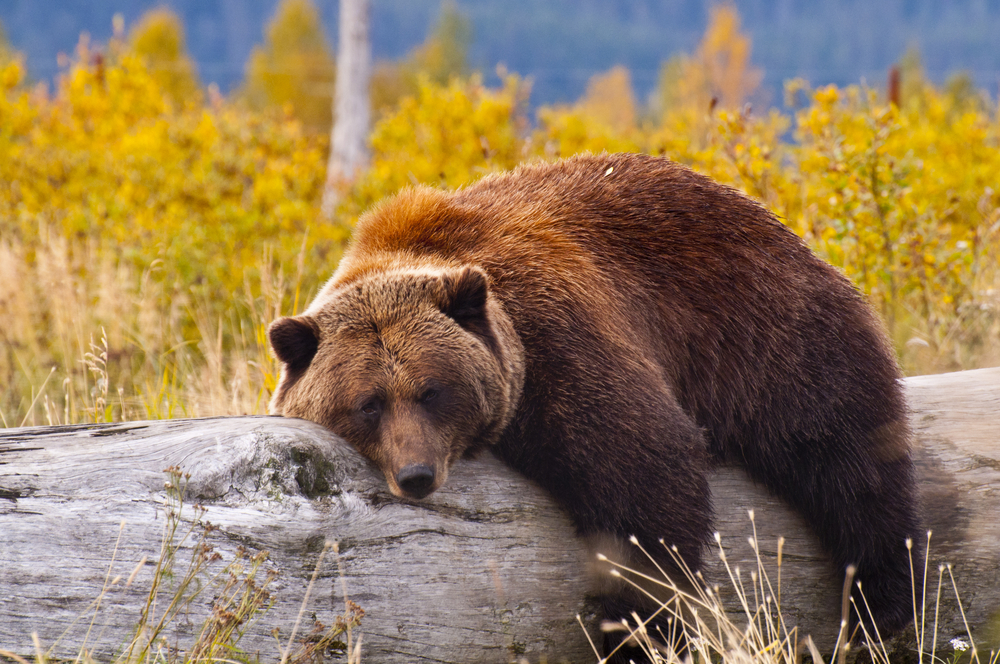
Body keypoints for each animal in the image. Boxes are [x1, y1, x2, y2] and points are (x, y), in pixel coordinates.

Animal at [268, 152, 920, 660]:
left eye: (432, 390)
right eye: (368, 404)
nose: (416, 475)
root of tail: (773, 221)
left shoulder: (558, 339)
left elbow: (643, 474)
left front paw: (639, 632)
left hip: (768, 332)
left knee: (848, 459)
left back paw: (880, 603)